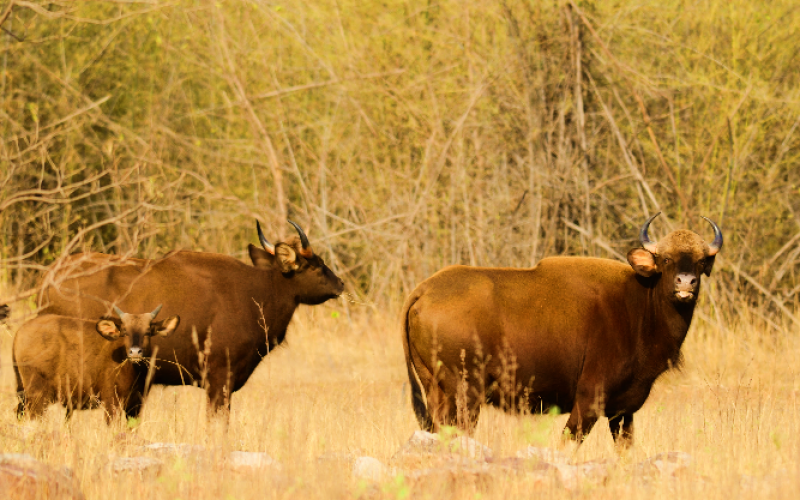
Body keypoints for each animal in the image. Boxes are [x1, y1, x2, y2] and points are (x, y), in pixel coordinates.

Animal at [13, 304, 178, 422]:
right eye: (125, 331)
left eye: (148, 332)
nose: (135, 352)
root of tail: (20, 331)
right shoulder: (111, 402)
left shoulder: (136, 405)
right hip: (37, 395)